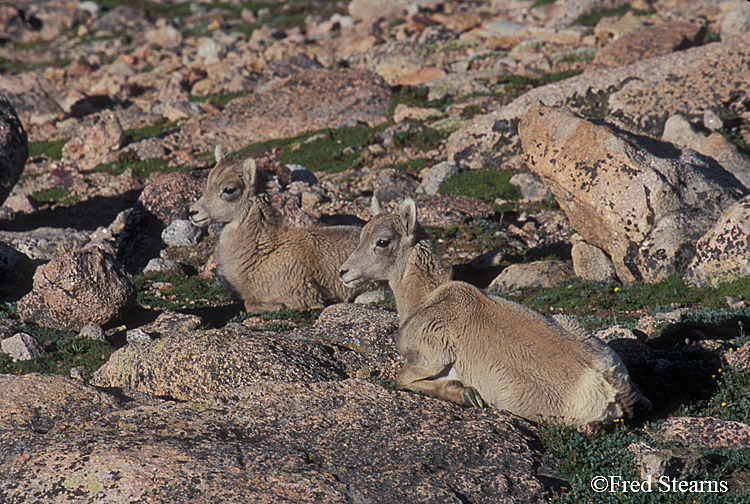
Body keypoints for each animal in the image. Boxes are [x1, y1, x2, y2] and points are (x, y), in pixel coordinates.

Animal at [340, 197, 652, 426]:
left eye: (382, 242)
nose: (344, 272)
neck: (423, 300)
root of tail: (612, 386)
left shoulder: (427, 359)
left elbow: (402, 379)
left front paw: (465, 393)